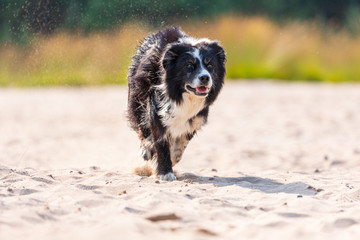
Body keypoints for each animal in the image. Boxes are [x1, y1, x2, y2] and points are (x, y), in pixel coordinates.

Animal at [128, 26, 226, 180]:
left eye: (210, 65)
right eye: (189, 65)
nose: (205, 77)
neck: (182, 95)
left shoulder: (195, 119)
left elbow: (179, 148)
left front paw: (169, 162)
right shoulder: (158, 109)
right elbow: (161, 143)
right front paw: (165, 173)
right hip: (137, 96)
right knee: (141, 125)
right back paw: (146, 149)